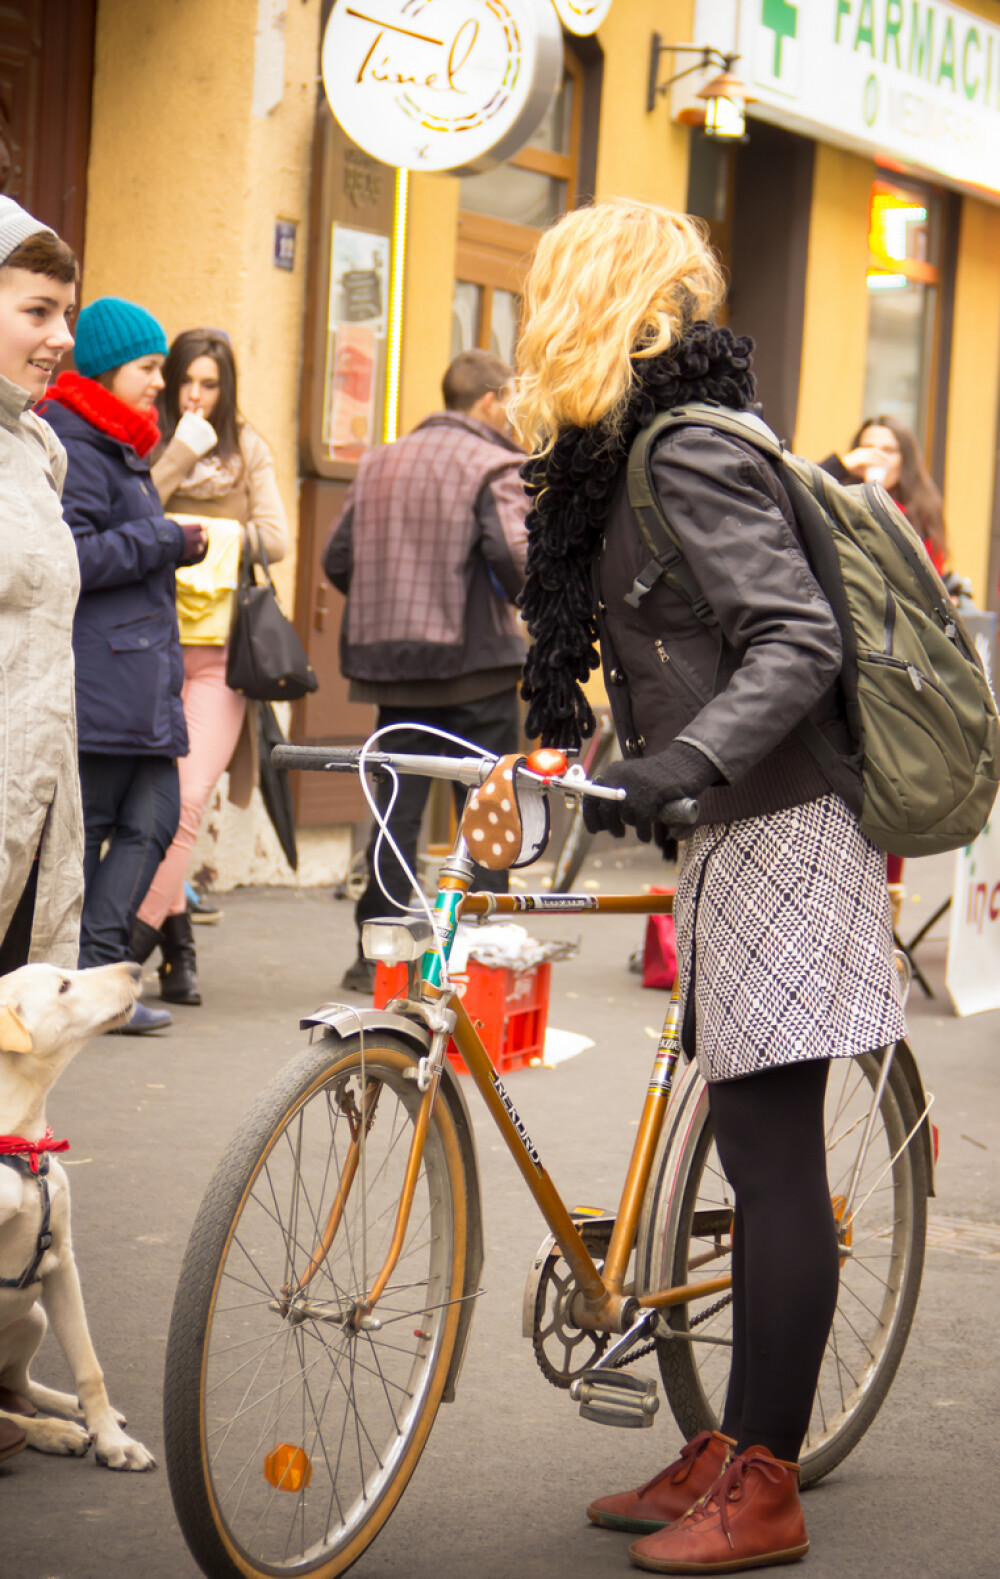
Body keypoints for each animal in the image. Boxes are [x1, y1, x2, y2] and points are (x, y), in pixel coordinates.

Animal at [0, 960, 154, 1465]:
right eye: (64, 987)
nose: (136, 967)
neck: (21, 1149)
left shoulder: (61, 1262)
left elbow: (89, 1366)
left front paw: (114, 1442)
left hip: (33, 1316)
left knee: (16, 1384)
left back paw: (66, 1410)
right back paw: (49, 1430)